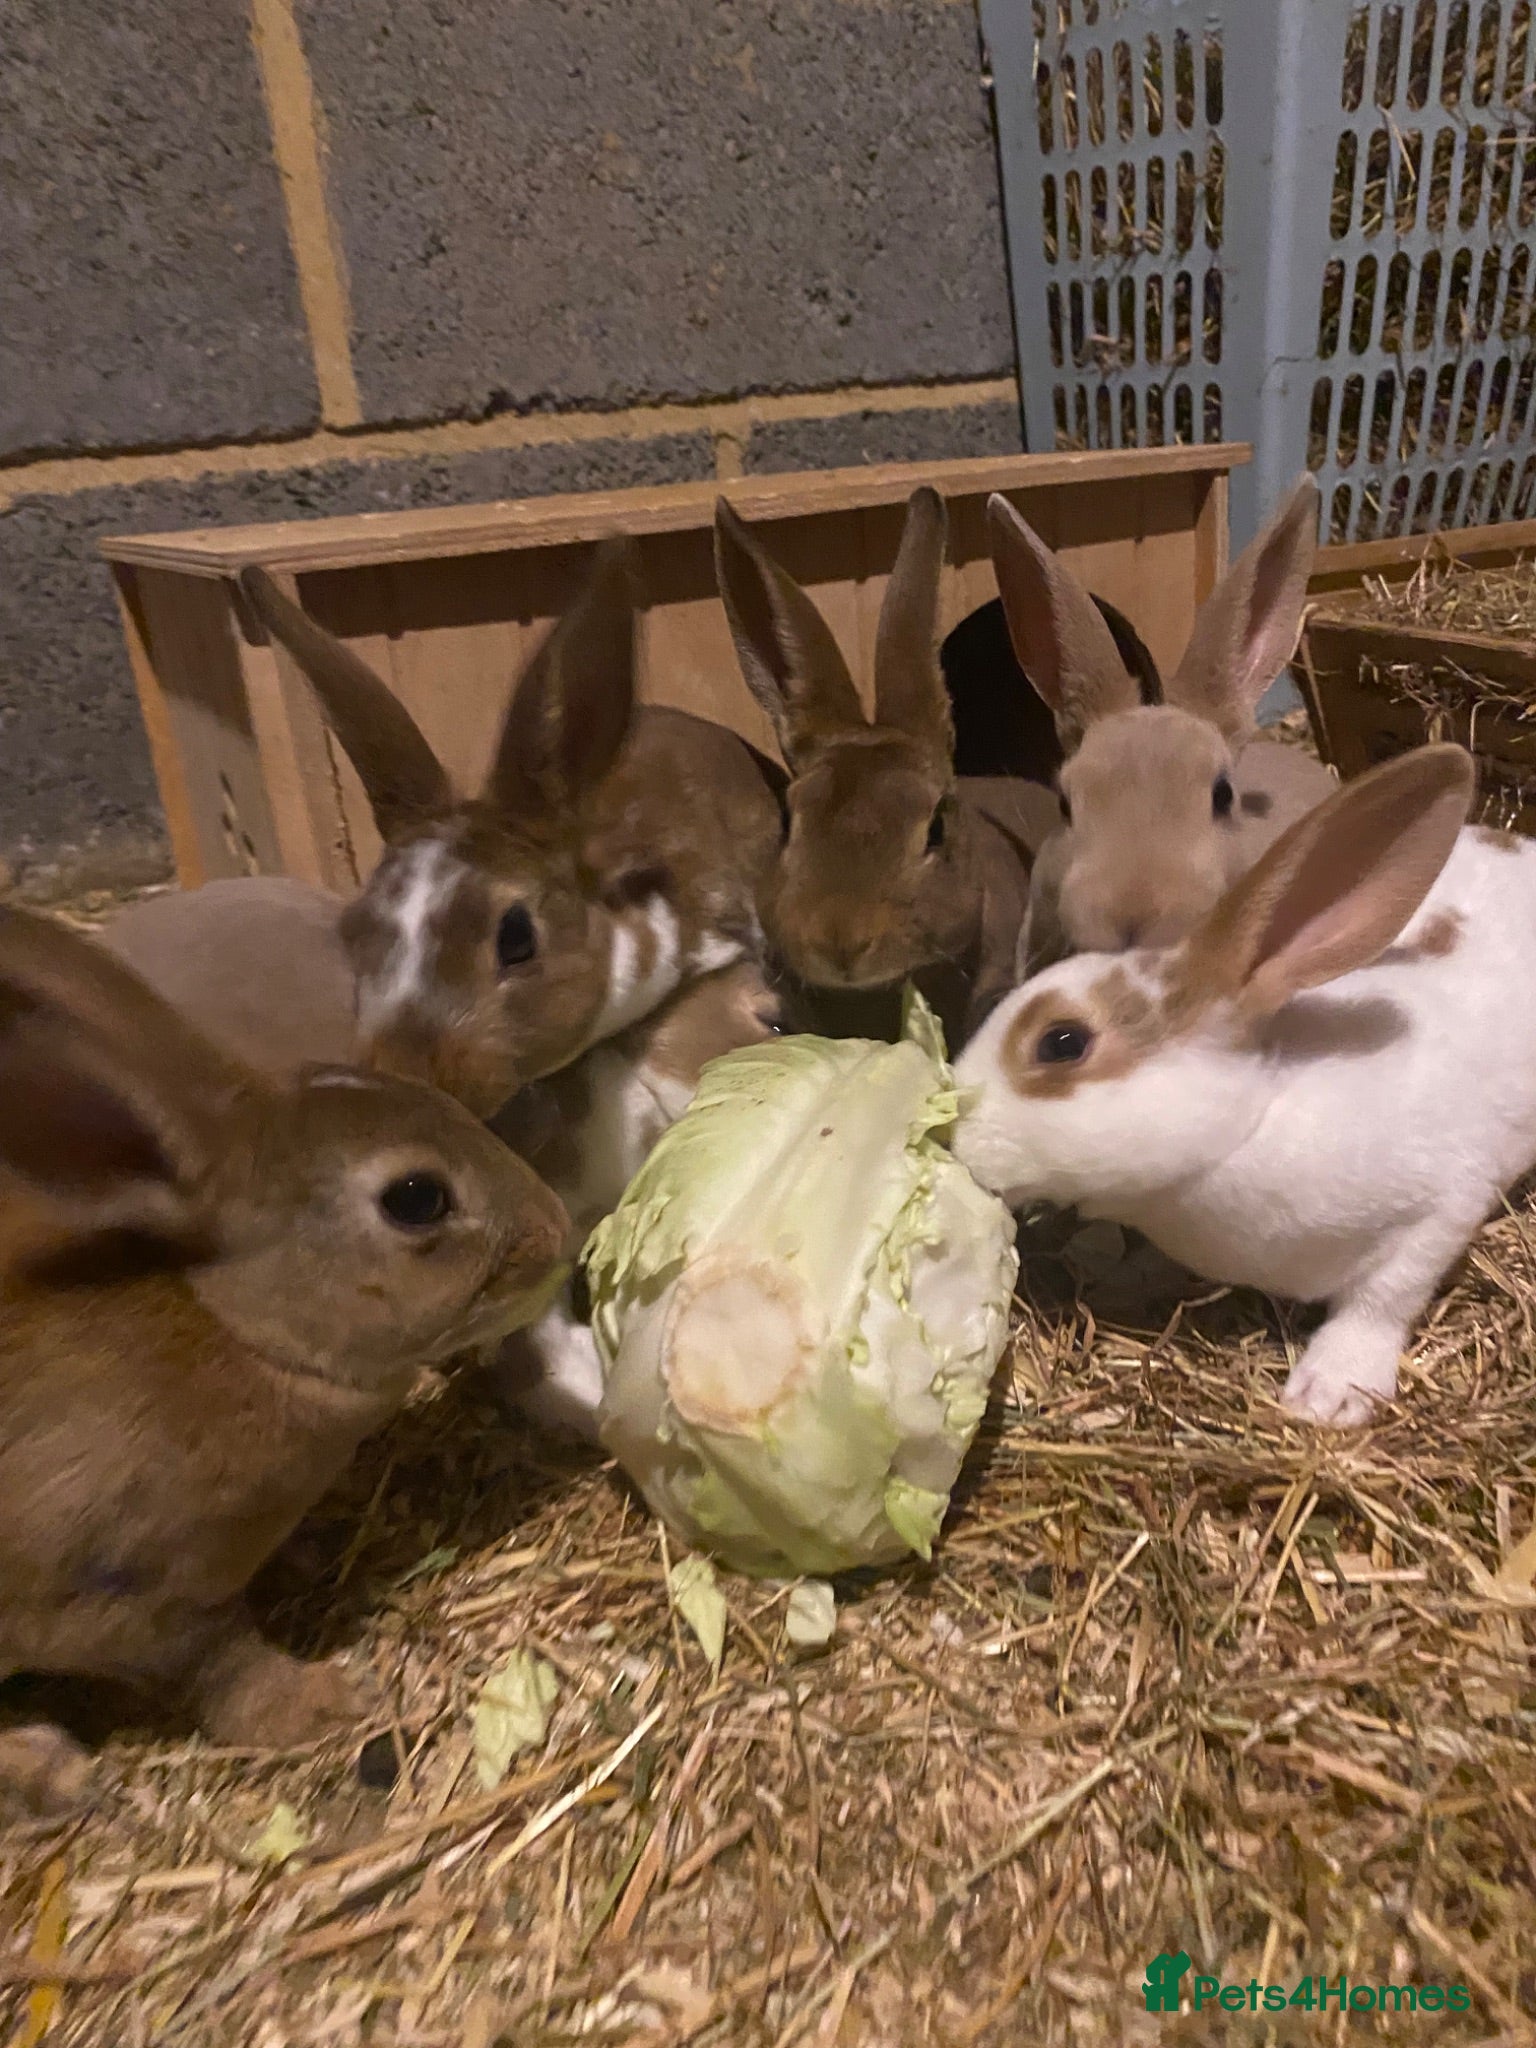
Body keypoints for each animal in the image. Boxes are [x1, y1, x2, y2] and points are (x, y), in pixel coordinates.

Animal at [0, 904, 568, 1815]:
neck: (245, 1334)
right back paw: (51, 1767)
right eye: (417, 1198)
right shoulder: (128, 1604)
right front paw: (328, 1701)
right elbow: (220, 1667)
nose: (555, 1228)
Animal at [950, 742, 1536, 1428]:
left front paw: (1328, 1395)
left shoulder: (1442, 1209)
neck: (1252, 1121)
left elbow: (1383, 1300)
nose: (950, 1133)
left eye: (1061, 1042)